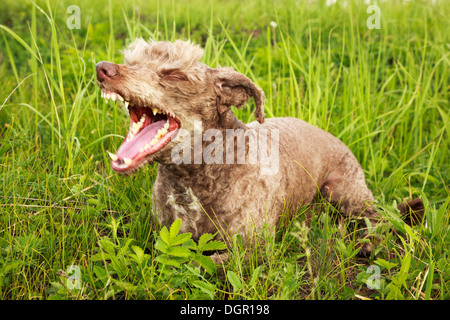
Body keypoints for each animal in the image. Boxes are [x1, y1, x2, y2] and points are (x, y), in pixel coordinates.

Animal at [96, 38, 422, 262]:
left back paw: (368, 243)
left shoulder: (252, 251)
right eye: (132, 60)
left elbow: (200, 264)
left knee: (379, 217)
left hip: (344, 191)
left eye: (175, 74)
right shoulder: (167, 234)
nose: (103, 69)